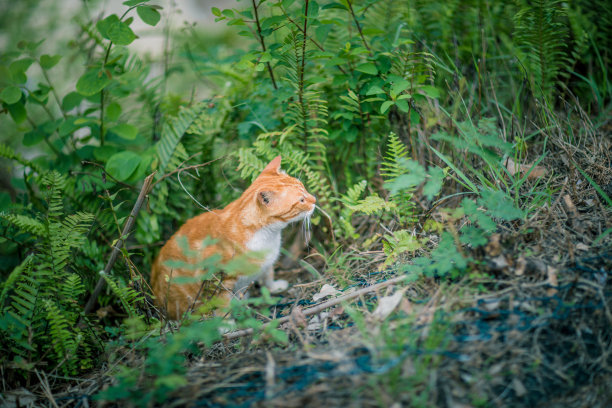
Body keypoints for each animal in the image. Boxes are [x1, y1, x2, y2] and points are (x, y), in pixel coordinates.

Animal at [152, 156, 316, 318]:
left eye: (304, 188)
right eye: (301, 200)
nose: (315, 200)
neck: (268, 234)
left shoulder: (266, 262)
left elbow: (268, 273)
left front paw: (274, 287)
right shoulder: (220, 281)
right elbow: (222, 306)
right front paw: (226, 323)